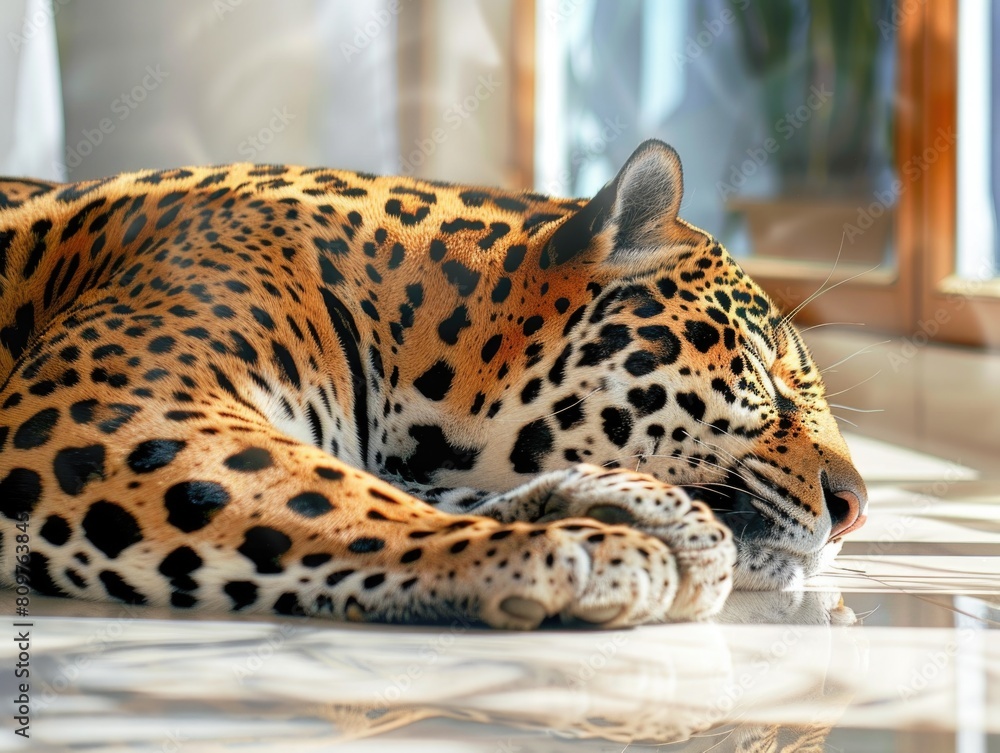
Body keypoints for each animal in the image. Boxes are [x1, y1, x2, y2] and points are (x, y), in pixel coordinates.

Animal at [0, 139, 867, 629]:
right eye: (761, 369)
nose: (856, 510)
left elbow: (402, 488)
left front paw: (632, 511)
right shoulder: (107, 404)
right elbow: (338, 498)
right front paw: (582, 550)